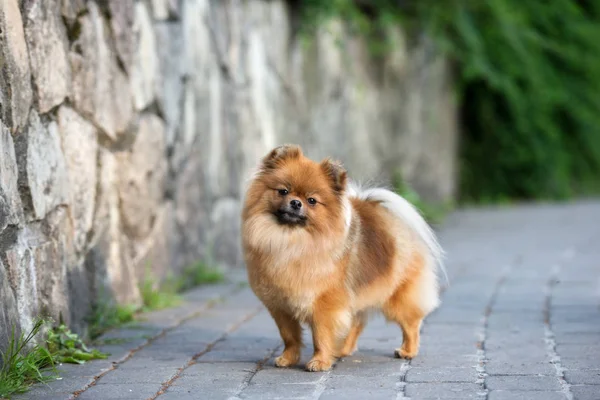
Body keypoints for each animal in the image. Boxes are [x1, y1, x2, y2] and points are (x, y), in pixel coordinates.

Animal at [240, 145, 446, 372]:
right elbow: (290, 337)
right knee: (357, 323)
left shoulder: (324, 305)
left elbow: (321, 336)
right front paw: (288, 358)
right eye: (283, 191)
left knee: (411, 323)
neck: (291, 241)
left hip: (397, 296)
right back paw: (343, 350)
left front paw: (319, 362)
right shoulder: (281, 307)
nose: (295, 202)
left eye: (312, 201)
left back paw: (407, 351)